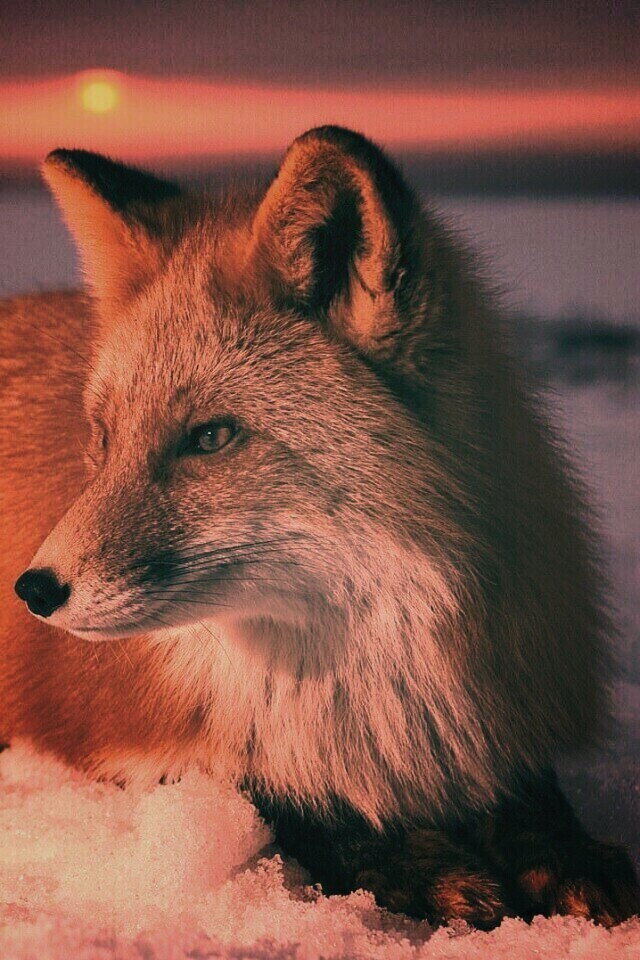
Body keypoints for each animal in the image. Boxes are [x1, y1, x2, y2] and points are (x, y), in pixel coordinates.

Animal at [0, 126, 638, 929]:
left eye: (210, 437)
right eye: (105, 439)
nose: (33, 589)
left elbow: (530, 793)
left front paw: (564, 851)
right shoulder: (113, 740)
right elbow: (269, 796)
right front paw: (409, 861)